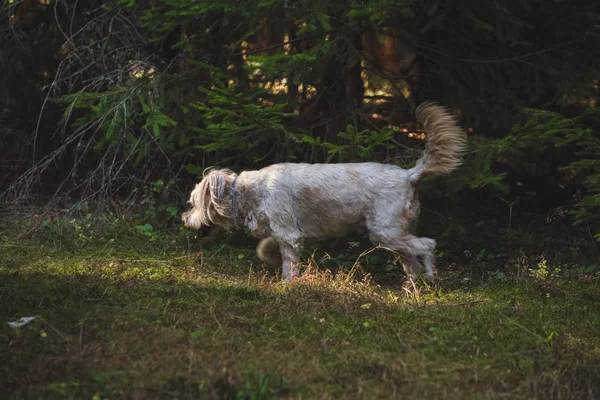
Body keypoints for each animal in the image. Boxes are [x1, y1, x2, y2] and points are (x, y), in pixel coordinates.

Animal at [180, 102, 466, 282]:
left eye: (193, 203)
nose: (184, 219)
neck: (248, 193)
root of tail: (409, 175)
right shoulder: (284, 234)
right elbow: (268, 249)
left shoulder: (289, 235)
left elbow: (288, 264)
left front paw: (287, 284)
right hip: (393, 235)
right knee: (410, 259)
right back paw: (412, 286)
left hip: (385, 231)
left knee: (427, 245)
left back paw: (430, 276)